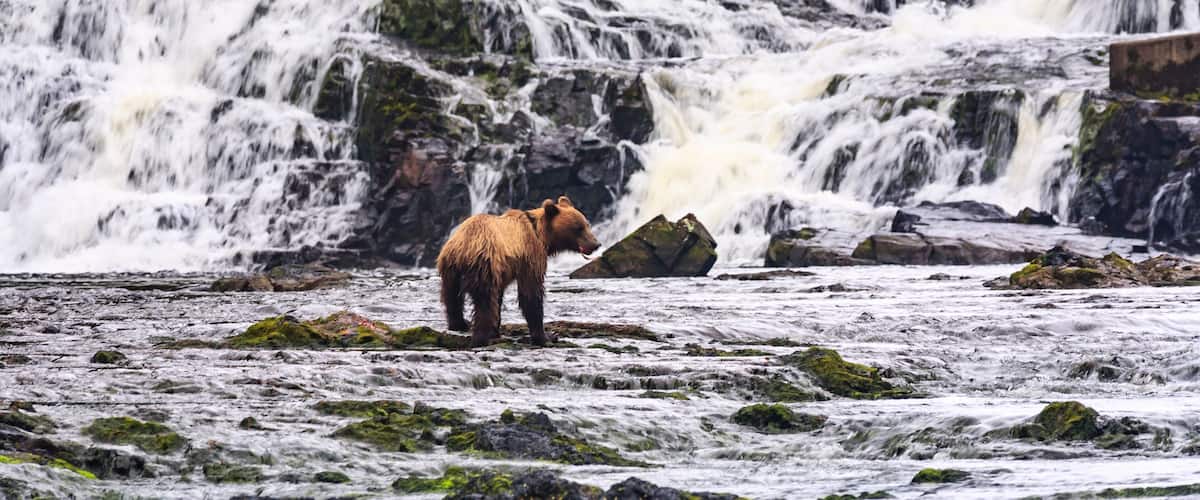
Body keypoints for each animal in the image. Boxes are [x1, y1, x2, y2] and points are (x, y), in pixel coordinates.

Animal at [437, 195, 601, 347]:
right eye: (578, 228)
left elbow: (499, 297)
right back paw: (481, 337)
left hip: (451, 268)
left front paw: (496, 330)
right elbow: (531, 294)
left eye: (586, 224)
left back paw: (459, 324)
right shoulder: (530, 257)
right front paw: (546, 336)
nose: (596, 244)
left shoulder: (502, 271)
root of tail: (464, 246)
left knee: (452, 296)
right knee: (484, 301)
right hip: (484, 264)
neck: (540, 235)